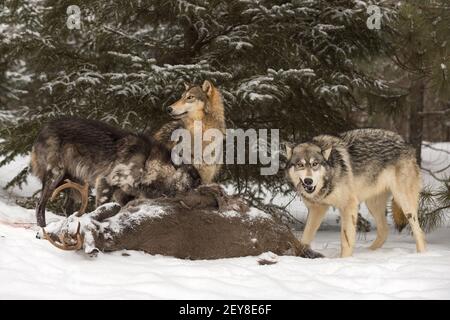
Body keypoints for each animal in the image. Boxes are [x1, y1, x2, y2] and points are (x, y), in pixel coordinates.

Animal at [30, 116, 200, 226]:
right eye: (191, 182)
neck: (147, 162)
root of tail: (43, 129)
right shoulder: (106, 184)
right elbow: (100, 210)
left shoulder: (124, 195)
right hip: (55, 176)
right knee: (39, 205)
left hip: (75, 183)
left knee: (67, 207)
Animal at [286, 128, 428, 258]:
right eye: (300, 165)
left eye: (315, 164)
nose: (308, 181)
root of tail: (406, 144)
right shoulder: (317, 209)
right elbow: (305, 237)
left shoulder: (349, 206)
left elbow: (346, 240)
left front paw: (344, 261)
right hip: (373, 205)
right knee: (384, 230)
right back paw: (369, 253)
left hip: (404, 202)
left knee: (419, 231)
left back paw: (421, 255)